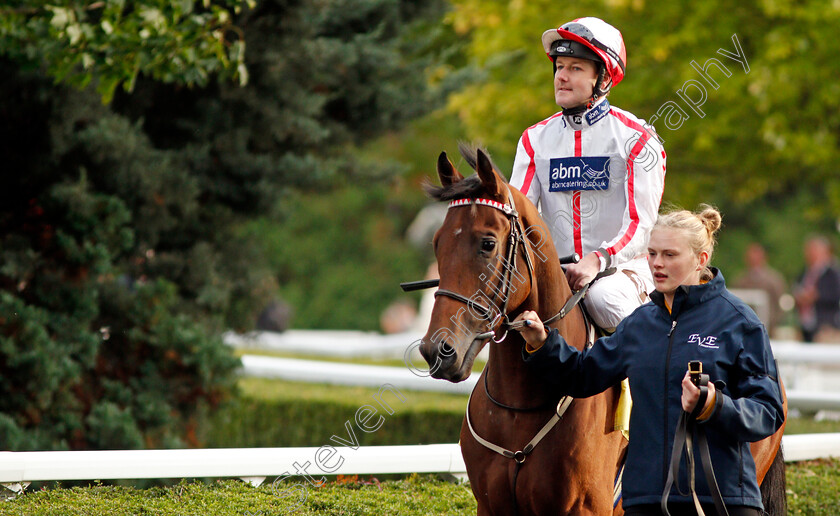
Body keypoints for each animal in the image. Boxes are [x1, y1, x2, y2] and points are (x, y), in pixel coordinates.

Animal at [414, 145, 788, 516]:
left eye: (488, 243)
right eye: (437, 243)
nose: (438, 350)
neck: (519, 407)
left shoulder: (586, 507)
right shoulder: (491, 506)